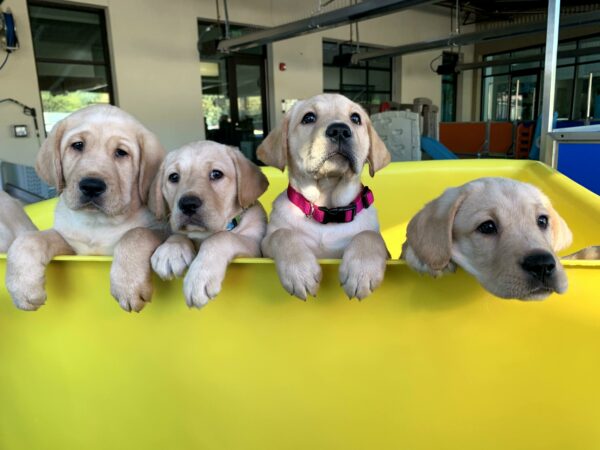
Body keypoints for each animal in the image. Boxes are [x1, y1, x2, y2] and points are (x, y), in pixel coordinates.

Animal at [5, 103, 164, 312]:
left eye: (121, 152)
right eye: (78, 145)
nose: (92, 186)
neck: (97, 223)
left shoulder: (160, 230)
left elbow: (136, 234)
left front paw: (128, 284)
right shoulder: (71, 246)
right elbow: (31, 239)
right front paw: (22, 286)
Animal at [149, 141, 268, 310]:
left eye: (216, 174)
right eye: (173, 177)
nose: (188, 204)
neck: (203, 234)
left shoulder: (254, 244)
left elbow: (222, 237)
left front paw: (199, 275)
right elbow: (179, 234)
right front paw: (171, 250)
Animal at [258, 93, 392, 300]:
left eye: (355, 118)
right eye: (308, 118)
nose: (340, 130)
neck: (327, 210)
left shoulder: (383, 247)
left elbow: (370, 235)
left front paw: (362, 271)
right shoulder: (265, 245)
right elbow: (282, 234)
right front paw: (300, 271)